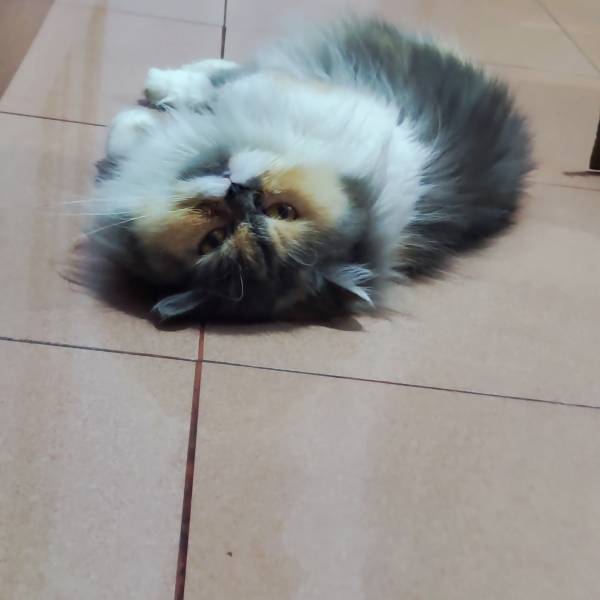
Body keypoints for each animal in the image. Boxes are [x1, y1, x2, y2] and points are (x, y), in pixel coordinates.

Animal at [86, 18, 532, 323]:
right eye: (284, 212)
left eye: (214, 239)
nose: (239, 192)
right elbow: (214, 91)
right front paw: (155, 108)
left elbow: (207, 96)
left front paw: (139, 121)